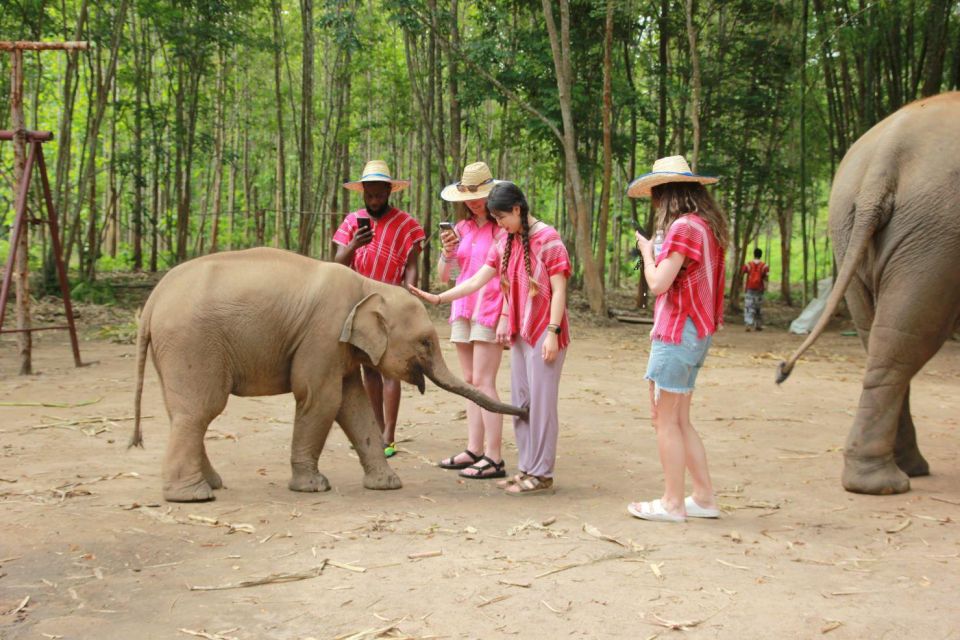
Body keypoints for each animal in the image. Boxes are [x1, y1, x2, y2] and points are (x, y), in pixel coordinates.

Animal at [130, 247, 527, 502]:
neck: (369, 286)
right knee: (199, 410)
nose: (525, 410)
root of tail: (151, 302)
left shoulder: (340, 346)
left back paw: (211, 485)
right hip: (192, 342)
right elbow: (321, 399)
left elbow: (354, 404)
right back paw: (193, 496)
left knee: (183, 413)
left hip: (177, 349)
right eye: (426, 342)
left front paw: (388, 484)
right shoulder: (322, 334)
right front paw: (313, 487)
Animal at [777, 92, 960, 495]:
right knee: (906, 336)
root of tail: (884, 160)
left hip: (850, 228)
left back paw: (902, 471)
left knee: (880, 335)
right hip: (935, 236)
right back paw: (885, 483)